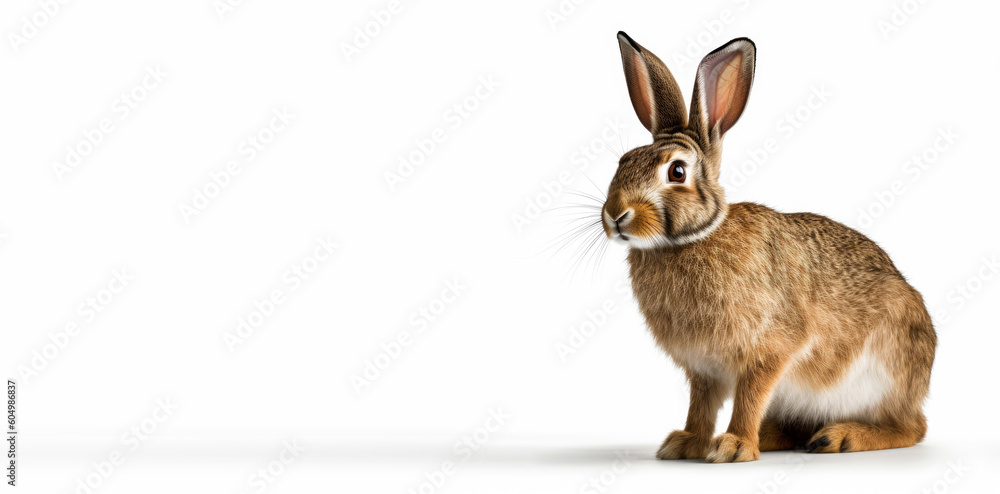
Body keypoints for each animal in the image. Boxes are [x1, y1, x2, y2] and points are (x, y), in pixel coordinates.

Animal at [604, 32, 936, 462]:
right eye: (623, 161)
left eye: (676, 171)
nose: (615, 215)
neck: (694, 239)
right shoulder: (703, 369)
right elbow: (701, 405)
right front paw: (688, 443)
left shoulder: (770, 350)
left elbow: (749, 395)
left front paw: (734, 446)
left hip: (887, 372)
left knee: (911, 428)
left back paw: (840, 437)